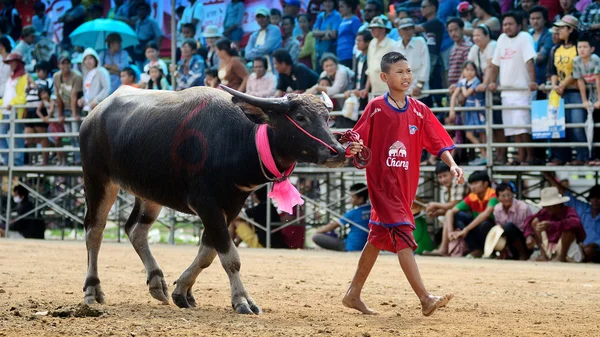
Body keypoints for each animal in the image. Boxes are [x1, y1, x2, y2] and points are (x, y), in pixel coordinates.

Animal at [78, 85, 346, 314]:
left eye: (327, 118)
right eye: (300, 117)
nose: (338, 151)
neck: (238, 140)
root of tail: (92, 116)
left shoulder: (229, 208)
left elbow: (208, 253)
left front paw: (182, 291)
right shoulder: (206, 204)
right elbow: (230, 258)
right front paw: (242, 301)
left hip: (149, 193)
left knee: (135, 230)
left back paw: (157, 282)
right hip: (98, 180)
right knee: (94, 231)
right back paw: (92, 289)